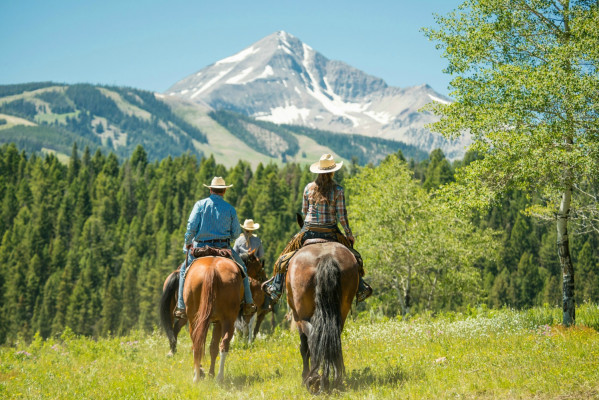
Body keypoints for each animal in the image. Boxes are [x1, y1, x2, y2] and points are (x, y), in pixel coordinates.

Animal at [284, 219, 356, 390]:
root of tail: (326, 257)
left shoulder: (296, 316)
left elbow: (304, 347)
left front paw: (305, 376)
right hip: (342, 309)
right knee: (333, 338)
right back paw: (334, 378)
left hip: (301, 314)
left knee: (312, 339)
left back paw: (313, 378)